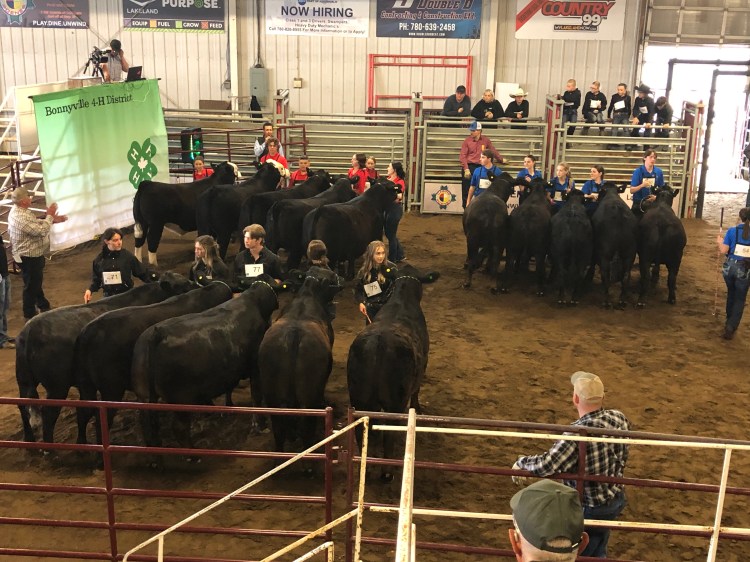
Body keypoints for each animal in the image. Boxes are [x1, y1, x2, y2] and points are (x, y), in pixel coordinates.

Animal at [15, 273, 193, 444]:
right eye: (183, 286)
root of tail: (29, 331)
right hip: (58, 386)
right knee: (48, 414)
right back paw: (49, 448)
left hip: (24, 380)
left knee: (23, 405)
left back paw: (31, 439)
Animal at [74, 281, 234, 445]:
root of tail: (86, 333)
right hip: (111, 389)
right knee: (102, 419)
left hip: (86, 385)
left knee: (83, 411)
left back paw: (82, 443)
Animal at [131, 279, 279, 449]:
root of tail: (157, 333)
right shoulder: (254, 367)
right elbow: (256, 395)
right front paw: (260, 425)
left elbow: (230, 388)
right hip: (181, 399)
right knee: (179, 428)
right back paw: (192, 451)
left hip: (144, 394)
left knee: (148, 424)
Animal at [347, 265, 439, 481]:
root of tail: (378, 343)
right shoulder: (424, 362)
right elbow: (416, 392)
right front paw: (418, 408)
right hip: (395, 400)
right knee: (389, 432)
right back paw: (387, 471)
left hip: (358, 397)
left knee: (363, 429)